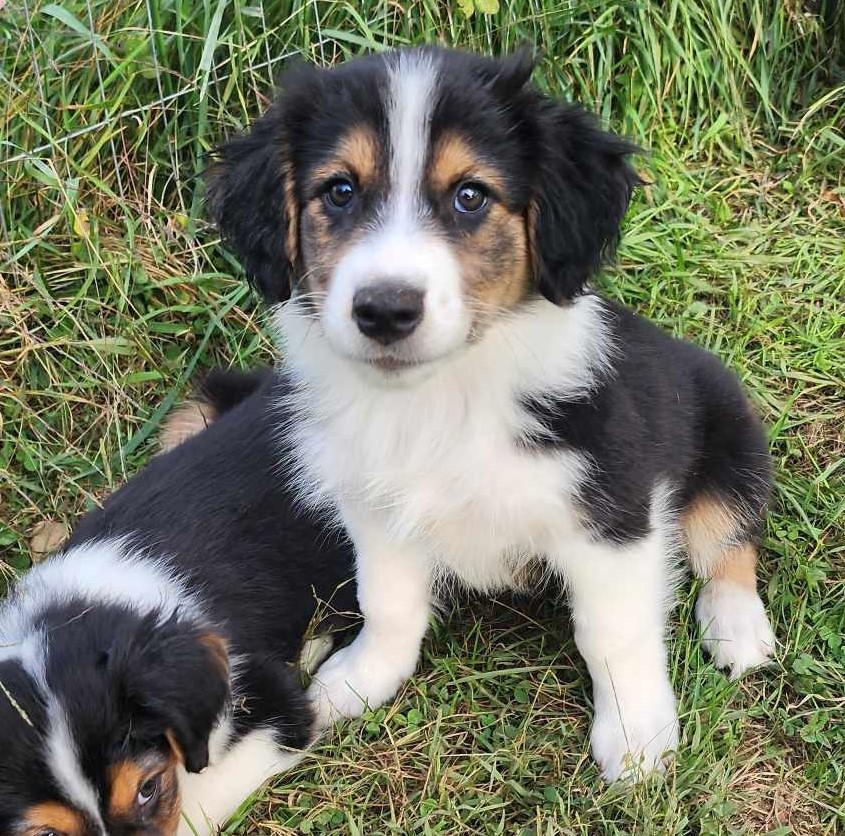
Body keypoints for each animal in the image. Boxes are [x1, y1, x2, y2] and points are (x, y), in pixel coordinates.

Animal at [206, 46, 776, 781]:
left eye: (469, 195)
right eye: (340, 191)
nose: (384, 311)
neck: (441, 397)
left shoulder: (612, 512)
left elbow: (613, 633)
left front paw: (636, 737)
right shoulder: (373, 507)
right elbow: (387, 602)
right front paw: (358, 679)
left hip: (729, 439)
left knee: (728, 540)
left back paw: (737, 628)